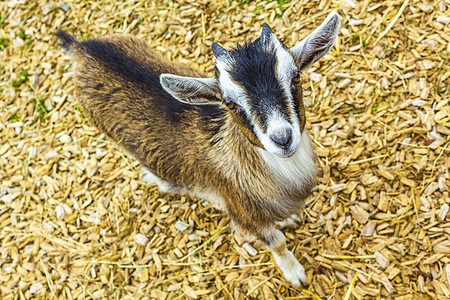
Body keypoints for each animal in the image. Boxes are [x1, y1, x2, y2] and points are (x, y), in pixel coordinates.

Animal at [58, 11, 342, 288]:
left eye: (295, 76)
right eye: (229, 102)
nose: (282, 138)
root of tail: (81, 48)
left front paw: (287, 219)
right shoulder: (242, 212)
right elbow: (278, 243)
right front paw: (295, 274)